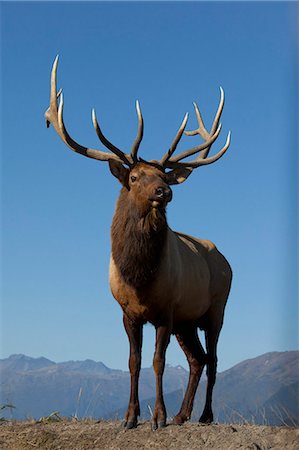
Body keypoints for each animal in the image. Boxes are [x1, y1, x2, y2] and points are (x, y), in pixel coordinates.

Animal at [45, 56, 234, 428]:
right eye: (134, 177)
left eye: (163, 176)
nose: (164, 191)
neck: (139, 277)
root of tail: (225, 259)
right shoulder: (127, 312)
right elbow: (133, 362)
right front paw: (130, 417)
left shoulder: (166, 309)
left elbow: (158, 362)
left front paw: (158, 416)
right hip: (187, 320)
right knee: (198, 359)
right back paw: (182, 415)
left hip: (216, 308)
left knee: (214, 359)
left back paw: (203, 415)